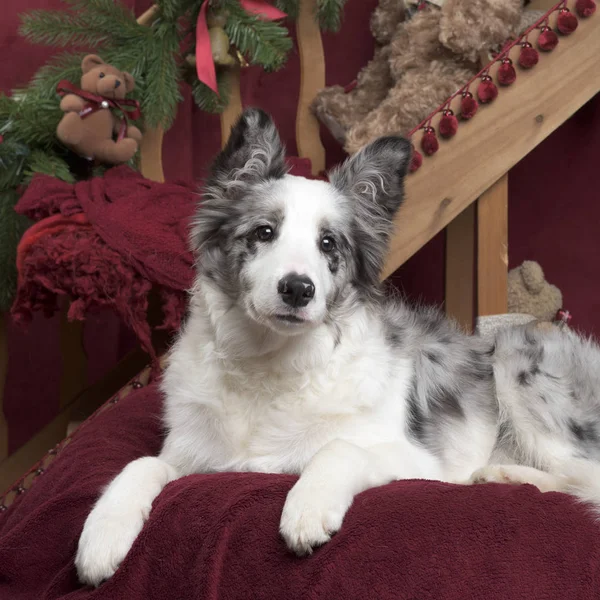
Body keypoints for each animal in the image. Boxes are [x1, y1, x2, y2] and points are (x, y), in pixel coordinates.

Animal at [75, 108, 600, 584]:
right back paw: (502, 475)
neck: (269, 364)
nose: (297, 289)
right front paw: (101, 536)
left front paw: (307, 507)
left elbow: (339, 449)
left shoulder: (419, 462)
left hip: (515, 359)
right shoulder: (192, 456)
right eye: (264, 232)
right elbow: (140, 463)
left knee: (586, 478)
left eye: (329, 244)